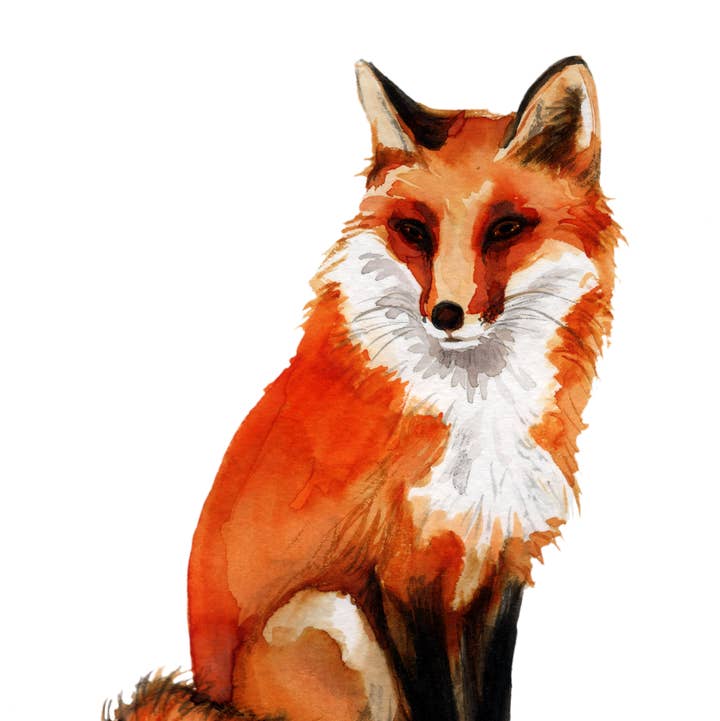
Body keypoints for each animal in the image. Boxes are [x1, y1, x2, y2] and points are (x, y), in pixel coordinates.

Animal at [109, 57, 619, 721]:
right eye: (414, 231)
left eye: (506, 228)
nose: (446, 315)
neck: (475, 414)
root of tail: (211, 697)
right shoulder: (401, 570)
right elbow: (437, 701)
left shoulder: (497, 562)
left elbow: (488, 695)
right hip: (329, 613)